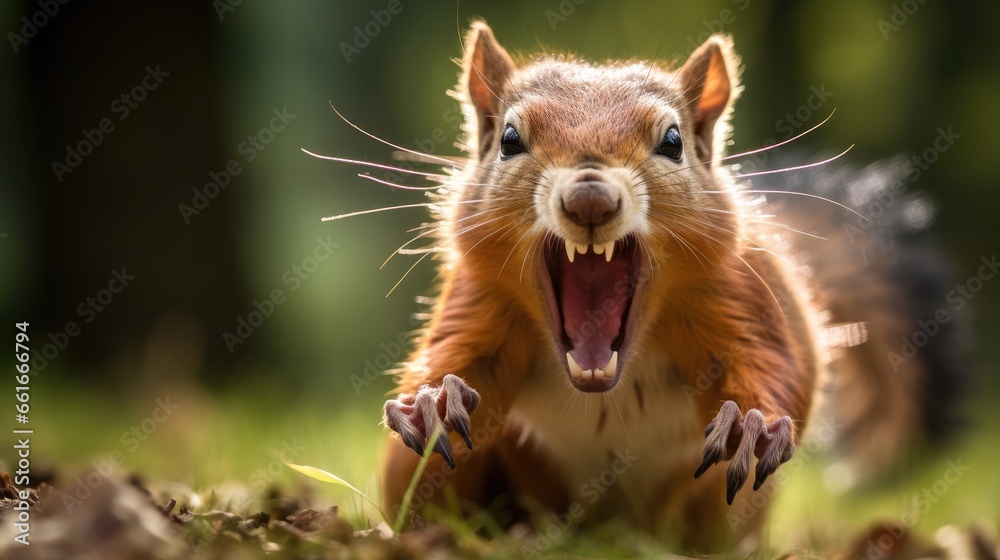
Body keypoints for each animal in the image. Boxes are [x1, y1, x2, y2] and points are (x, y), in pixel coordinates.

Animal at [359, 20, 967, 552]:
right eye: (509, 139)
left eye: (673, 141)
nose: (590, 199)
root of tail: (603, 536)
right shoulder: (482, 299)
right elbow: (457, 354)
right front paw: (432, 400)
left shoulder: (739, 292)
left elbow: (777, 361)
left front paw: (752, 423)